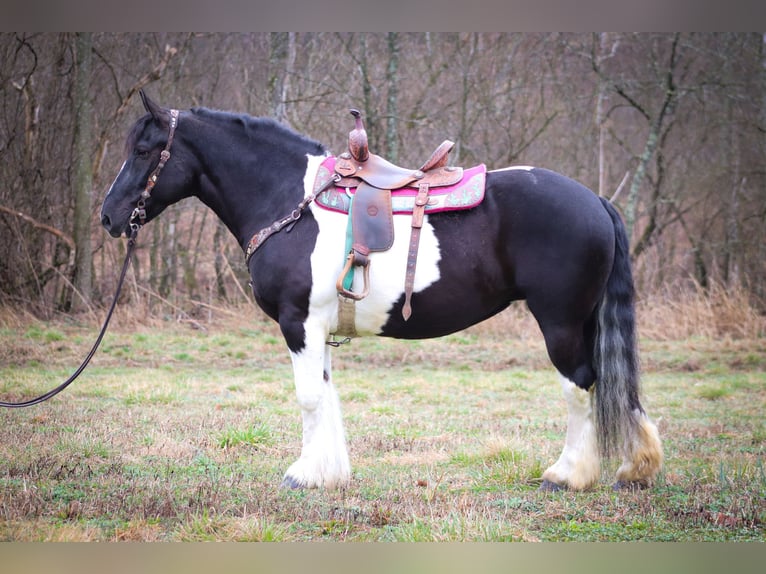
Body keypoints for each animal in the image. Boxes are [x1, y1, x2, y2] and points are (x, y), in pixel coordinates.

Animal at [103, 92, 664, 492]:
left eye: (144, 150)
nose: (109, 216)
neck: (291, 201)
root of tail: (594, 199)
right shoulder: (318, 328)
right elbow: (326, 392)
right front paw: (329, 473)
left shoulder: (297, 322)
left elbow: (309, 397)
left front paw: (302, 475)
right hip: (586, 320)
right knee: (614, 383)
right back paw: (635, 467)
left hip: (560, 321)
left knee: (581, 385)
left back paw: (567, 475)